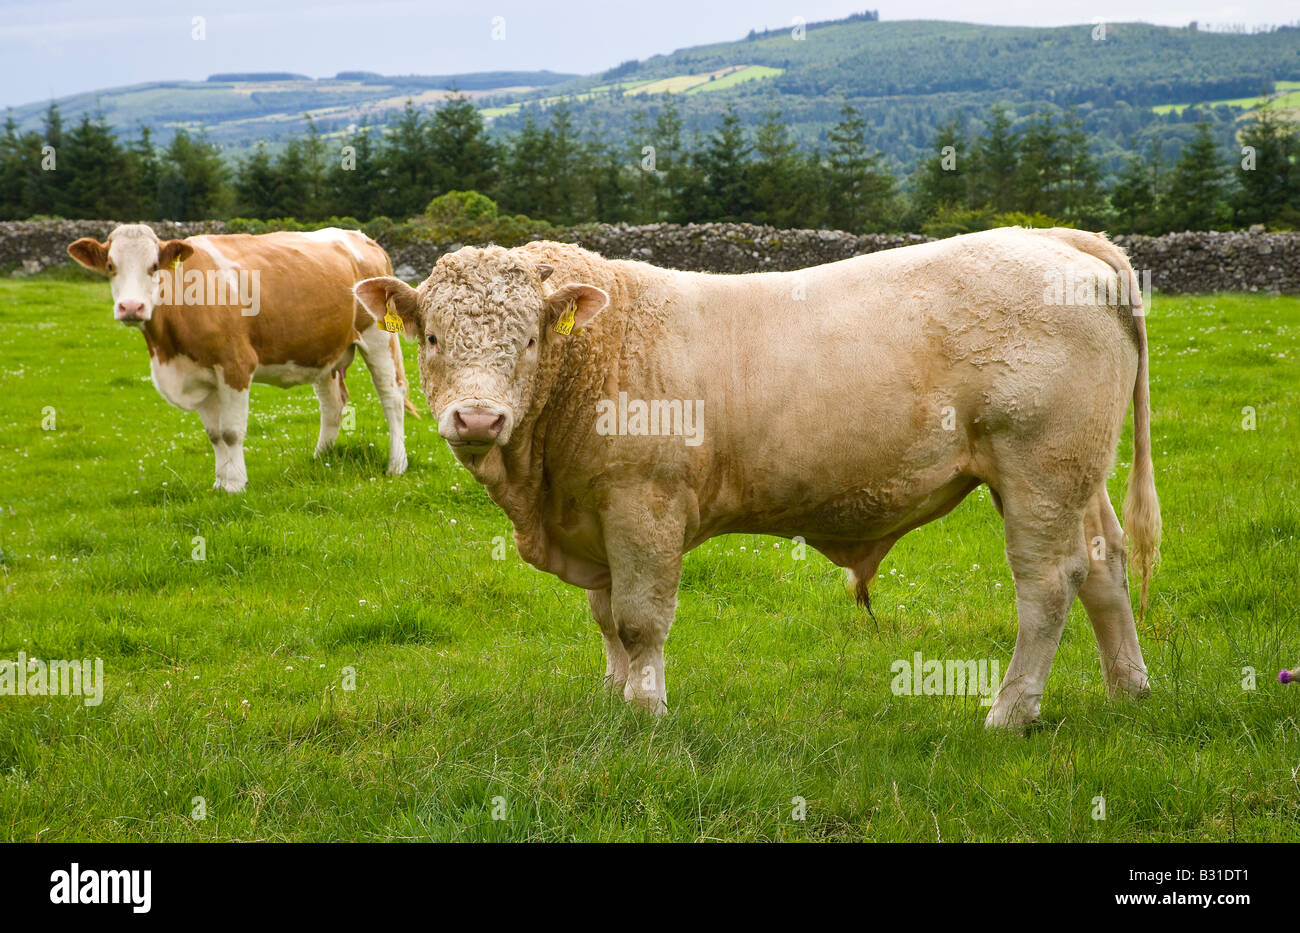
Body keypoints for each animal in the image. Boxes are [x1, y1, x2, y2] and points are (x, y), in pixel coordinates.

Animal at [69, 226, 416, 493]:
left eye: (154, 266)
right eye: (110, 266)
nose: (131, 307)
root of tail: (362, 238)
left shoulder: (235, 365)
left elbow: (231, 431)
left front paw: (236, 484)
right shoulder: (200, 375)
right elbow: (214, 435)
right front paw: (221, 483)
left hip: (379, 339)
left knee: (391, 397)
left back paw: (396, 464)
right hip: (324, 351)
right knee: (333, 405)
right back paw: (322, 459)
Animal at [353, 228, 1159, 732]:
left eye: (526, 340)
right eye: (432, 337)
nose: (478, 417)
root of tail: (1057, 238)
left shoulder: (644, 504)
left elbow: (639, 619)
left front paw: (646, 712)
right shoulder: (595, 515)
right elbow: (605, 618)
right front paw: (615, 697)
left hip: (1038, 467)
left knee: (1048, 583)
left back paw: (1008, 712)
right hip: (1079, 473)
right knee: (1103, 566)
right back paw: (1129, 690)